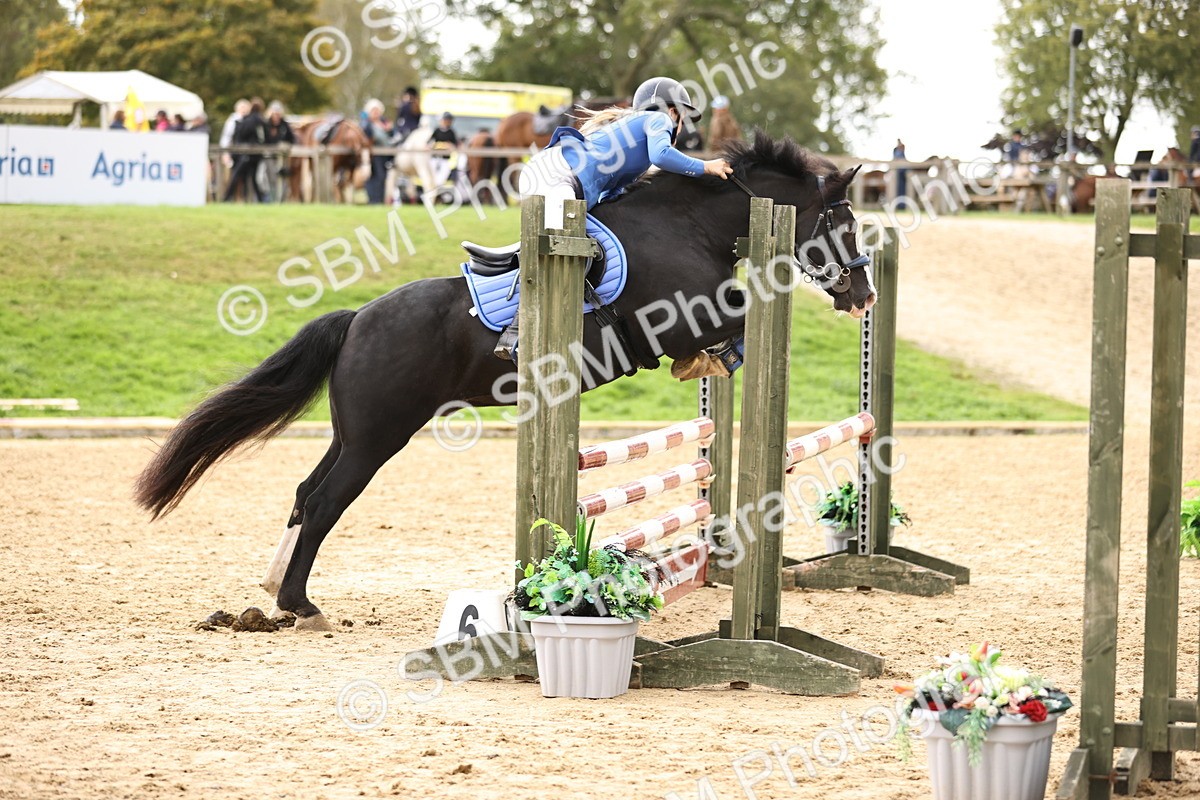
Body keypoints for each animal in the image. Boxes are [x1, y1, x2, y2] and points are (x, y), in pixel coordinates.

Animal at [134, 132, 877, 631]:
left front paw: (713, 366)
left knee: (303, 493)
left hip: (353, 434)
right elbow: (742, 319)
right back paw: (300, 604)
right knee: (323, 504)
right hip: (379, 437)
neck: (688, 222)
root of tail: (356, 321)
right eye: (843, 223)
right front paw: (716, 364)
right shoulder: (681, 314)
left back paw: (273, 589)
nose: (864, 294)